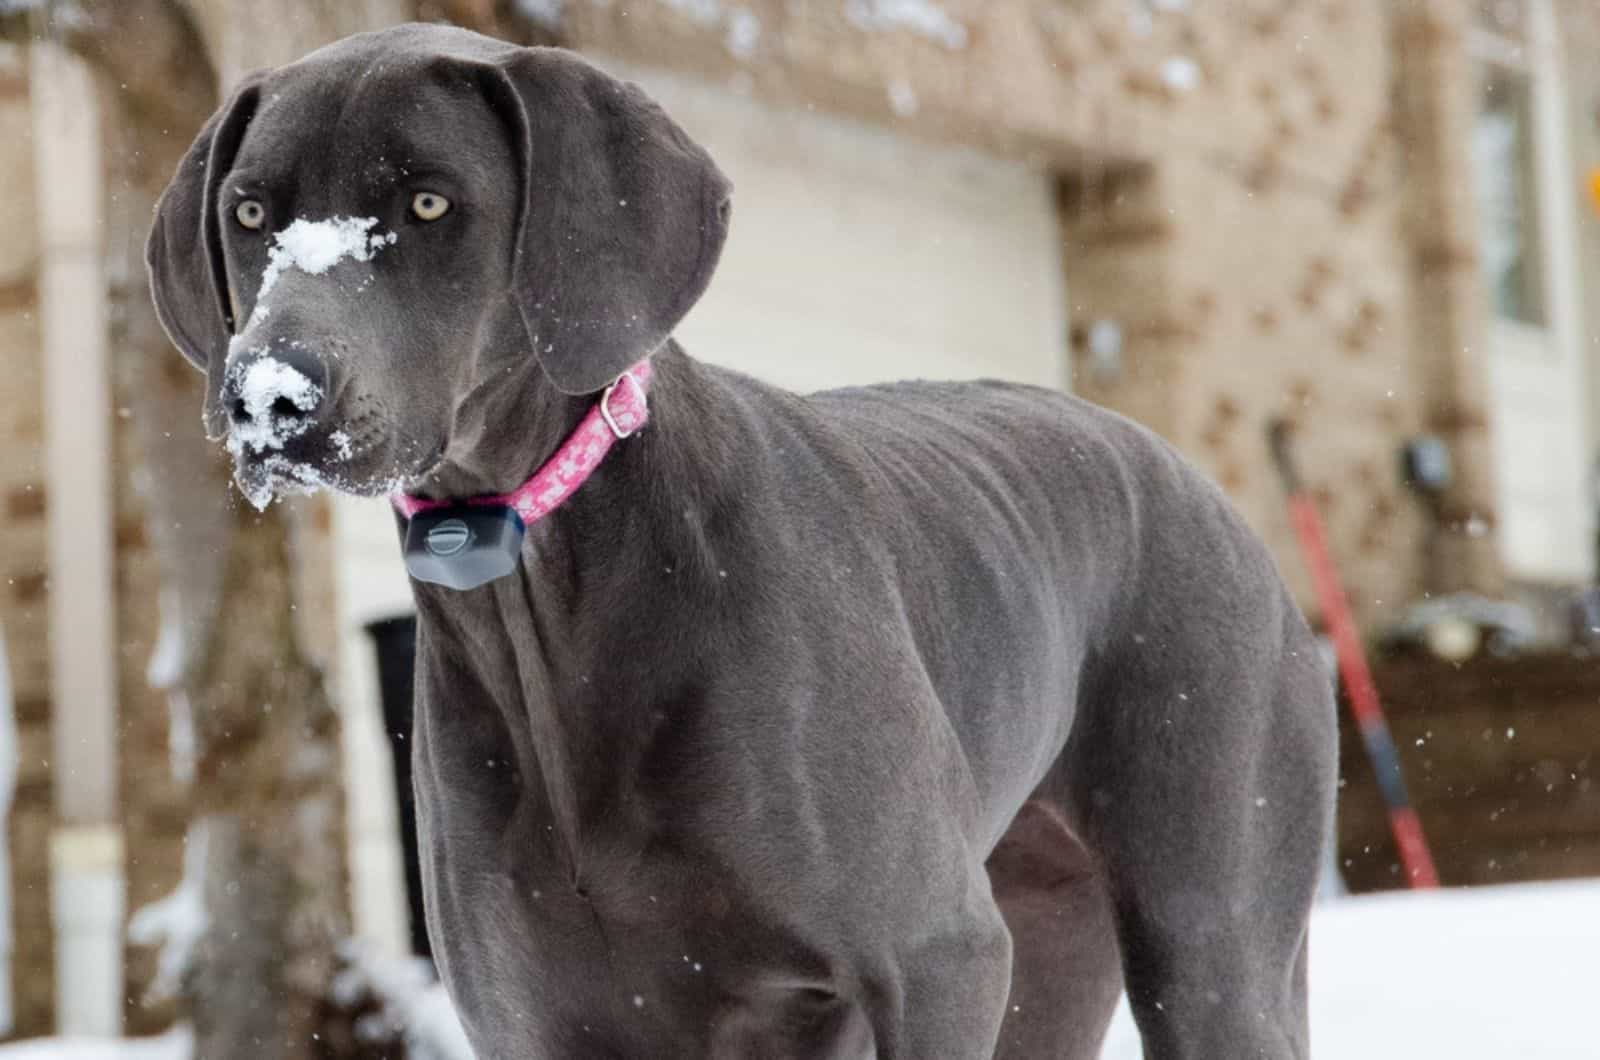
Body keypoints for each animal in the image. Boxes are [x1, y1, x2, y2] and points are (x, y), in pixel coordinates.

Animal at [150, 24, 1331, 1060]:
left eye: (430, 201)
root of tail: (1203, 485)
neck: (551, 603)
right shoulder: (538, 1016)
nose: (268, 399)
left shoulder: (932, 960)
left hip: (1206, 941)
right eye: (251, 211)